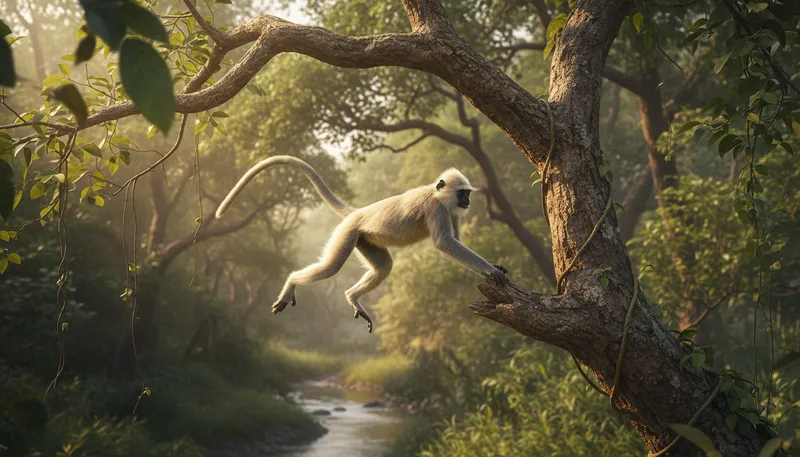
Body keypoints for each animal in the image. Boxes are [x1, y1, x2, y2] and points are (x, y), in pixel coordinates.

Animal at [215, 156, 509, 333]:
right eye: (463, 194)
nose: (468, 202)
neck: (436, 194)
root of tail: (358, 212)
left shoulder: (451, 212)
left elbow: (455, 241)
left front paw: (494, 265)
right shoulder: (436, 209)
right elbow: (445, 243)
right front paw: (489, 270)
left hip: (364, 239)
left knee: (384, 265)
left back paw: (352, 297)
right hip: (347, 233)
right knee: (332, 266)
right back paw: (292, 283)